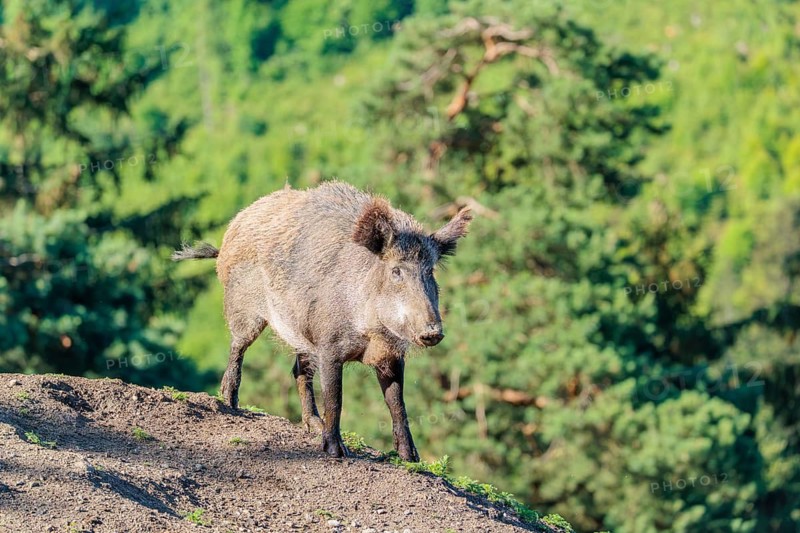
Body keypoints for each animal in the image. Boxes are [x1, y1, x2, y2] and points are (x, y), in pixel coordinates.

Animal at [172, 181, 472, 461]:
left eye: (430, 271)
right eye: (396, 271)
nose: (433, 332)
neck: (370, 333)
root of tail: (231, 233)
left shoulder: (390, 355)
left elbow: (397, 403)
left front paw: (411, 459)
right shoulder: (329, 346)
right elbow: (335, 396)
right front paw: (337, 452)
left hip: (300, 335)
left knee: (298, 371)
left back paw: (312, 425)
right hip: (243, 308)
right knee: (238, 347)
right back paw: (231, 403)